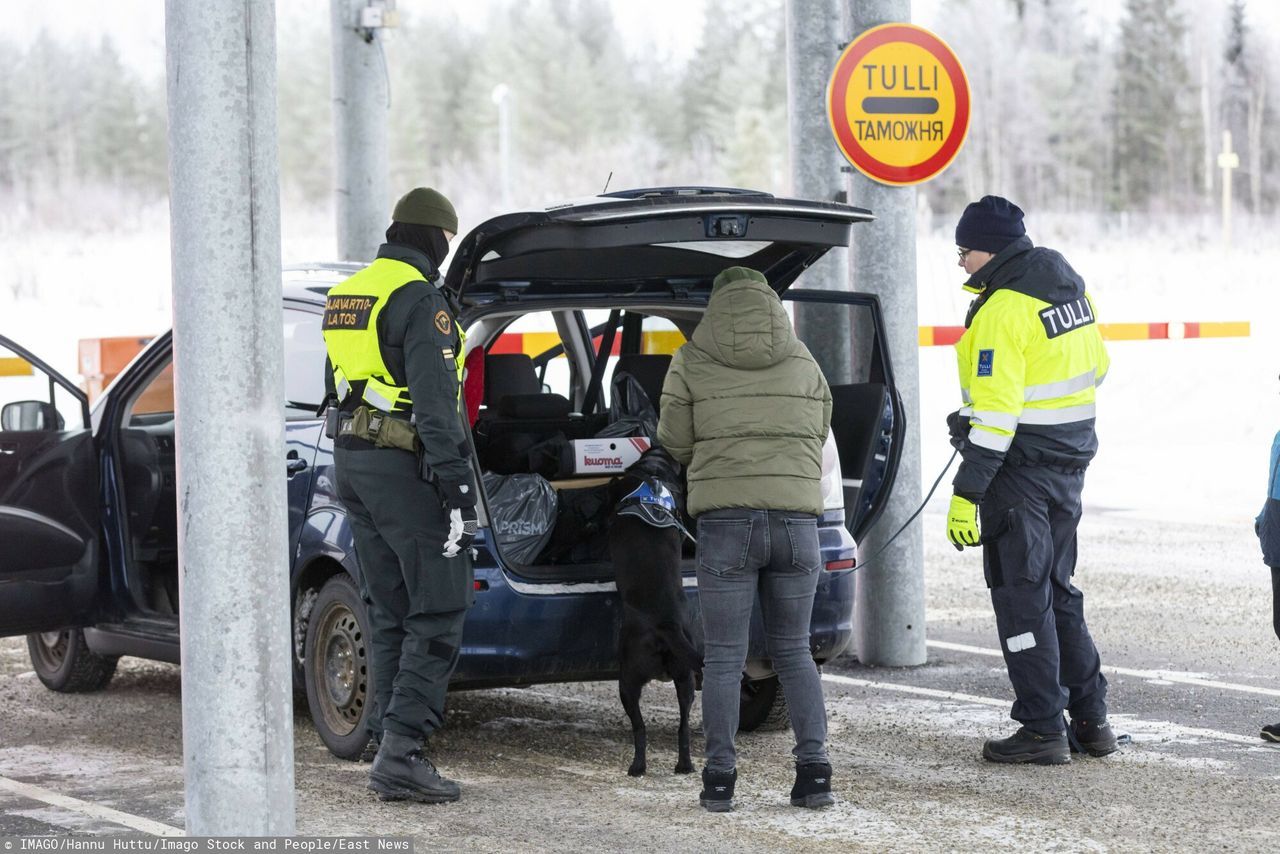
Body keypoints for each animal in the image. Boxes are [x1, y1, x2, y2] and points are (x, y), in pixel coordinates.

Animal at [606, 471, 701, 778]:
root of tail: (667, 626)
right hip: (685, 680)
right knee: (683, 727)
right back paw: (684, 765)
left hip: (628, 680)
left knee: (640, 727)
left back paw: (637, 766)